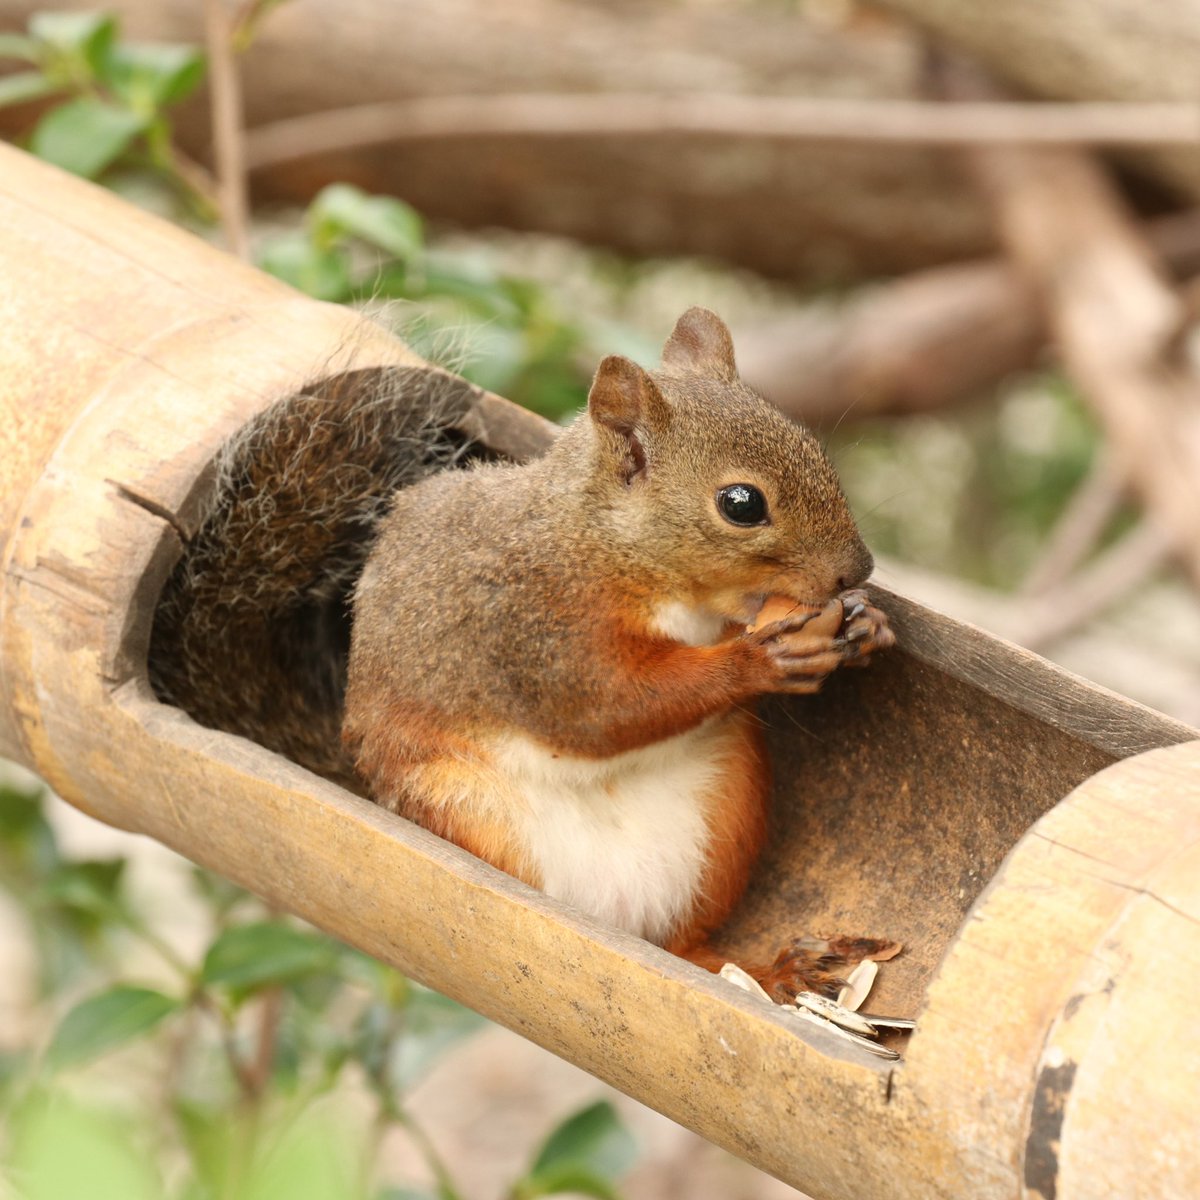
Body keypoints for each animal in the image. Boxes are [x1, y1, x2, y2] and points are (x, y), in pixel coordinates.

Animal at [150, 309, 897, 1003]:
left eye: (812, 446)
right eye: (741, 503)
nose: (857, 569)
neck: (608, 544)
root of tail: (613, 912)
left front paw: (867, 622)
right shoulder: (532, 629)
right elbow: (603, 710)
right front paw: (760, 659)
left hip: (724, 810)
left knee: (686, 946)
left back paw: (772, 974)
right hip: (469, 814)